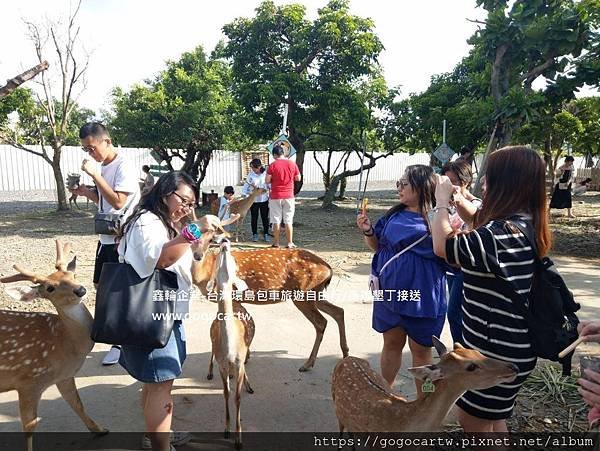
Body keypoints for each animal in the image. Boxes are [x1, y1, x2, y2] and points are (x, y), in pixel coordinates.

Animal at [0, 242, 106, 450]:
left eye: (72, 275)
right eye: (50, 288)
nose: (81, 290)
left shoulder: (64, 376)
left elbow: (77, 404)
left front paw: (100, 430)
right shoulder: (28, 381)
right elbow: (29, 426)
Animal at [192, 224, 350, 372]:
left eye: (210, 239)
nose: (197, 256)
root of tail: (329, 270)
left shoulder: (231, 297)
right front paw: (246, 356)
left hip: (303, 295)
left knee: (321, 322)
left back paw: (308, 364)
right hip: (315, 294)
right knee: (338, 311)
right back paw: (345, 353)